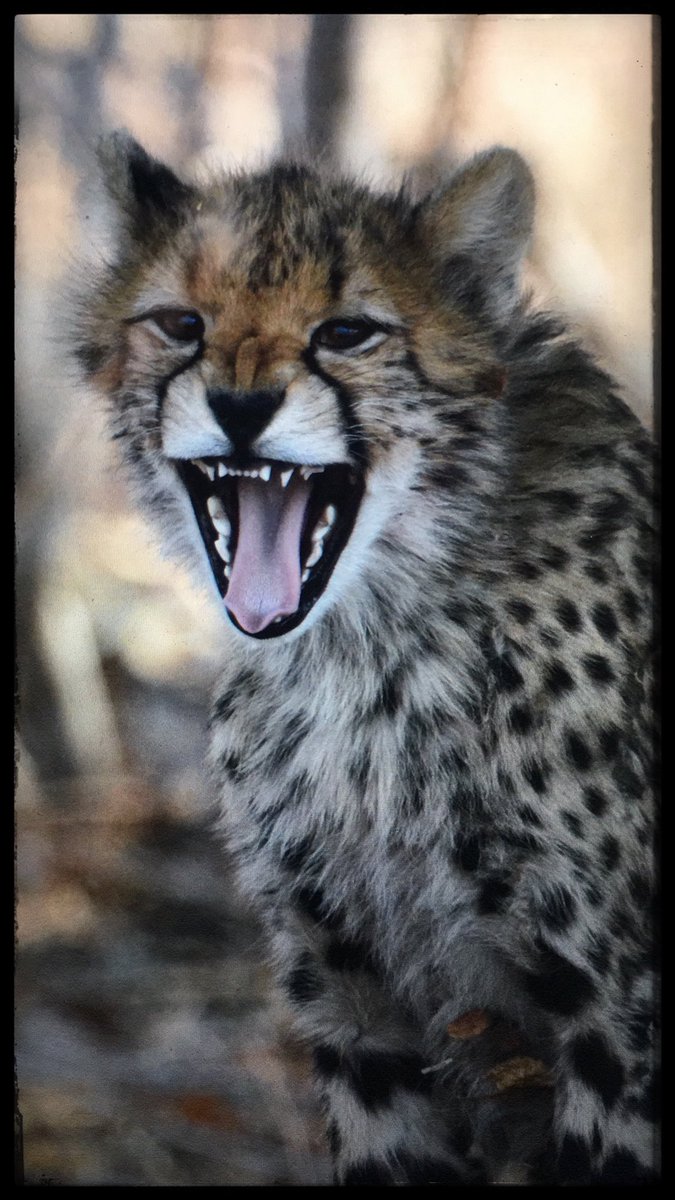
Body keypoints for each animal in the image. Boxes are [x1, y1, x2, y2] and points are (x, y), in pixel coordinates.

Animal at [72, 131, 659, 1185]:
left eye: (347, 333)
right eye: (181, 324)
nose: (240, 404)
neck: (360, 651)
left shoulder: (612, 1009)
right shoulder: (351, 994)